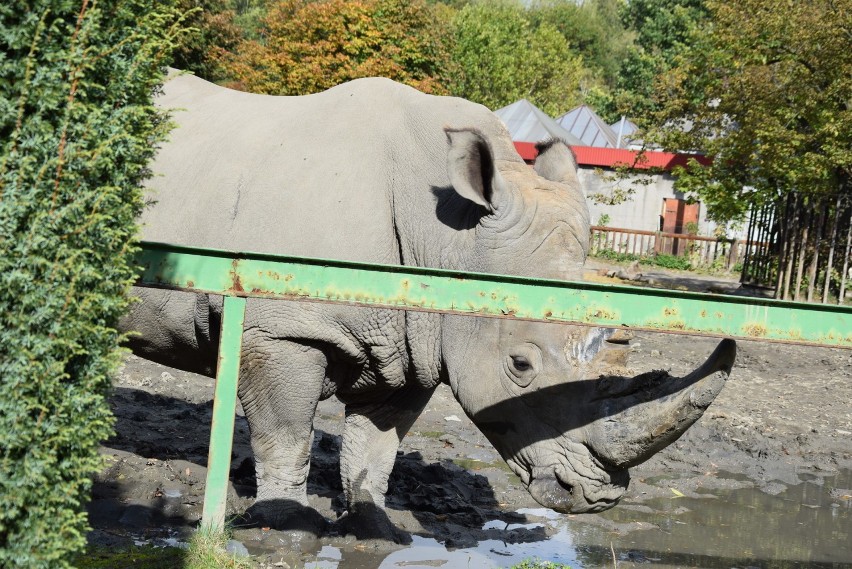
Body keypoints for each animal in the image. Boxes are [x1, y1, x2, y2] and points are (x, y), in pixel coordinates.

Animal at [123, 73, 736, 540]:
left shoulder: (415, 339)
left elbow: (376, 449)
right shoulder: (281, 328)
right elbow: (287, 437)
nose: (595, 495)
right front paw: (284, 529)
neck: (449, 238)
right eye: (519, 366)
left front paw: (375, 532)